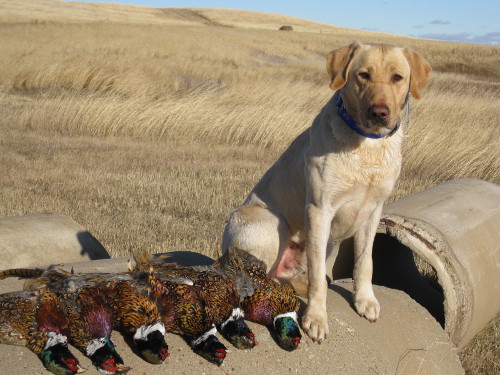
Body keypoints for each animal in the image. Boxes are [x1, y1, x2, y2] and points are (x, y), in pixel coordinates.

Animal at [222, 41, 430, 344]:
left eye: (397, 77)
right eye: (363, 75)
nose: (379, 112)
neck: (368, 146)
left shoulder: (373, 212)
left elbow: (364, 262)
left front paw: (365, 300)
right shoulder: (320, 210)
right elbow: (319, 274)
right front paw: (317, 319)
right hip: (271, 221)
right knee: (258, 279)